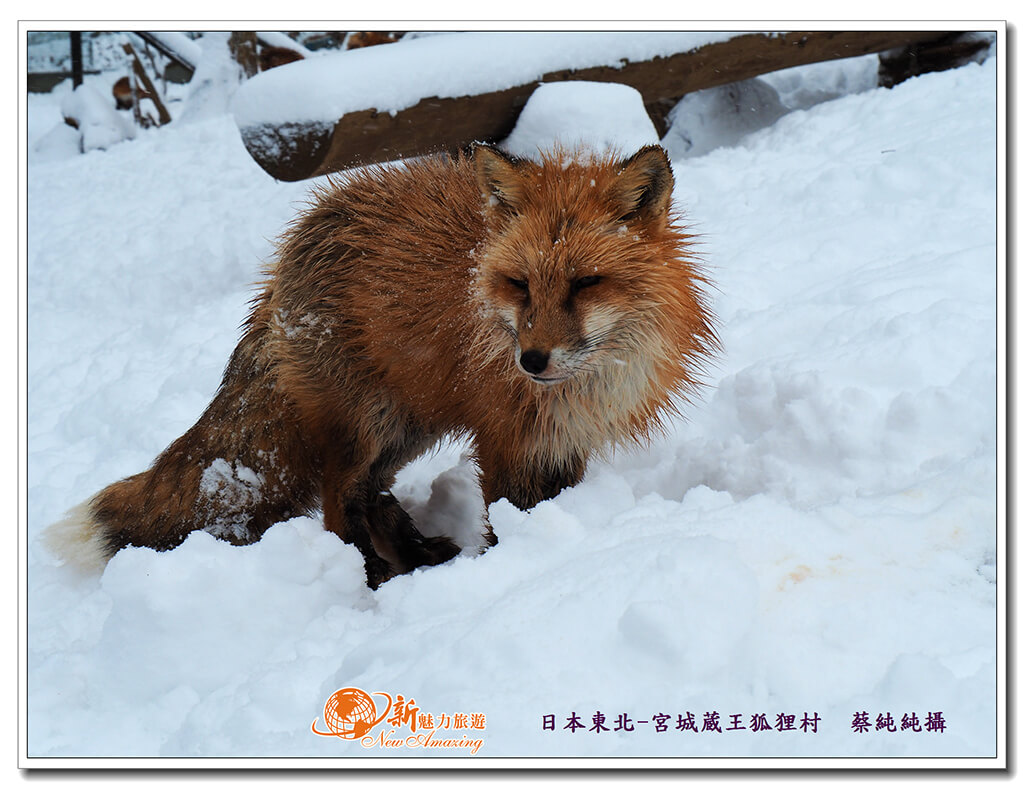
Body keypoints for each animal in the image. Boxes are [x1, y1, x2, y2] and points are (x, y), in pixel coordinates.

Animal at [44, 143, 716, 585]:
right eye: (520, 285)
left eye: (585, 283)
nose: (531, 360)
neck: (588, 381)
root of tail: (286, 254)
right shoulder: (507, 440)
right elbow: (507, 520)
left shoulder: (561, 439)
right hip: (364, 423)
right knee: (337, 504)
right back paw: (372, 578)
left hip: (407, 424)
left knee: (369, 495)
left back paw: (415, 555)